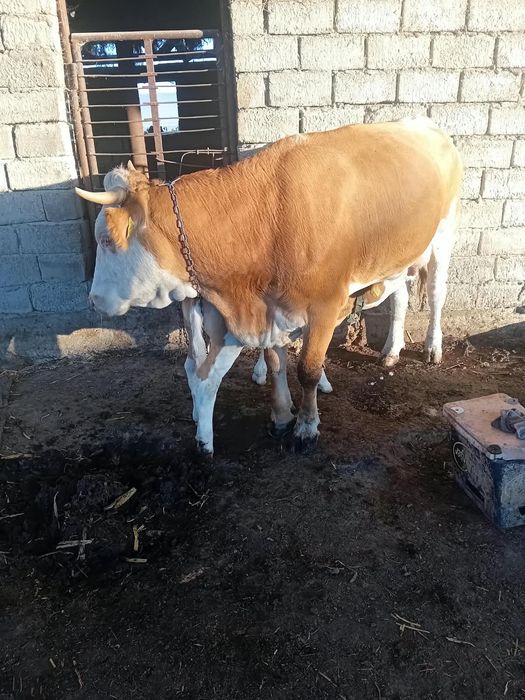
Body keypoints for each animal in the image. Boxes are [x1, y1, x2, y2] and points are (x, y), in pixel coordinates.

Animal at [76, 117, 462, 457]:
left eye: (106, 240)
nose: (92, 300)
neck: (272, 216)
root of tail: (425, 124)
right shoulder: (273, 309)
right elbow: (277, 361)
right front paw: (280, 415)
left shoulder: (324, 305)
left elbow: (307, 369)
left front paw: (306, 427)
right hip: (400, 255)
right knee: (400, 297)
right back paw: (392, 350)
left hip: (444, 236)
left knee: (436, 294)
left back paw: (432, 347)